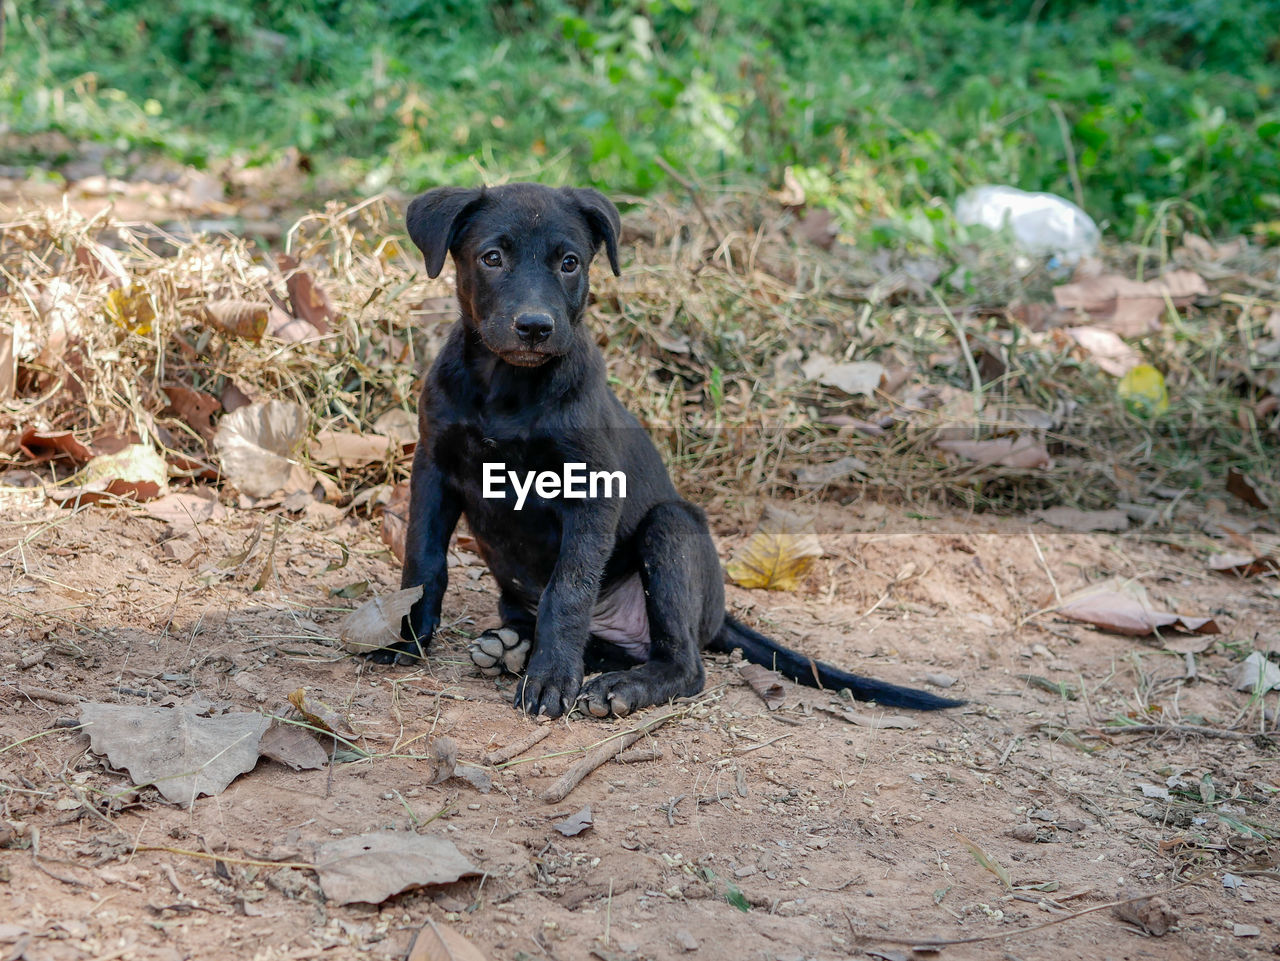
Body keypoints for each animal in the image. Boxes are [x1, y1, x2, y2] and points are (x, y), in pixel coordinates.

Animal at [373, 184, 962, 716]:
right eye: (491, 258)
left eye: (569, 262)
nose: (536, 327)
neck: (507, 388)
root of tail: (717, 614)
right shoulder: (433, 468)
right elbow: (424, 563)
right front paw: (405, 639)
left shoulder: (591, 490)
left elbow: (569, 589)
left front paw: (551, 679)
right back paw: (513, 648)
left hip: (672, 529)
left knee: (682, 662)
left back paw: (618, 686)